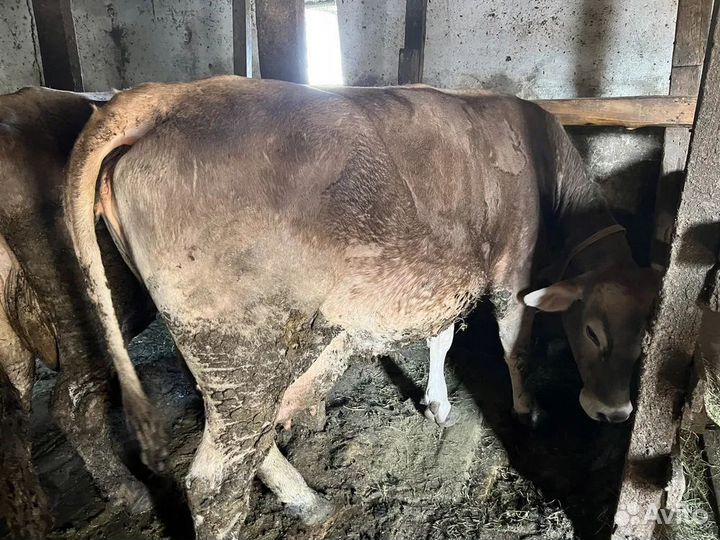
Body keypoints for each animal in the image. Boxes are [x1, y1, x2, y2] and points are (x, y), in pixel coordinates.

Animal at [65, 76, 658, 538]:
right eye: (592, 333)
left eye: (646, 337)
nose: (614, 414)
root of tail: (166, 95)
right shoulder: (511, 270)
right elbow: (517, 345)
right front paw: (526, 408)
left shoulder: (446, 276)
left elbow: (441, 337)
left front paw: (437, 403)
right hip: (237, 346)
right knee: (217, 480)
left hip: (223, 360)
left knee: (252, 445)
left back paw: (308, 501)